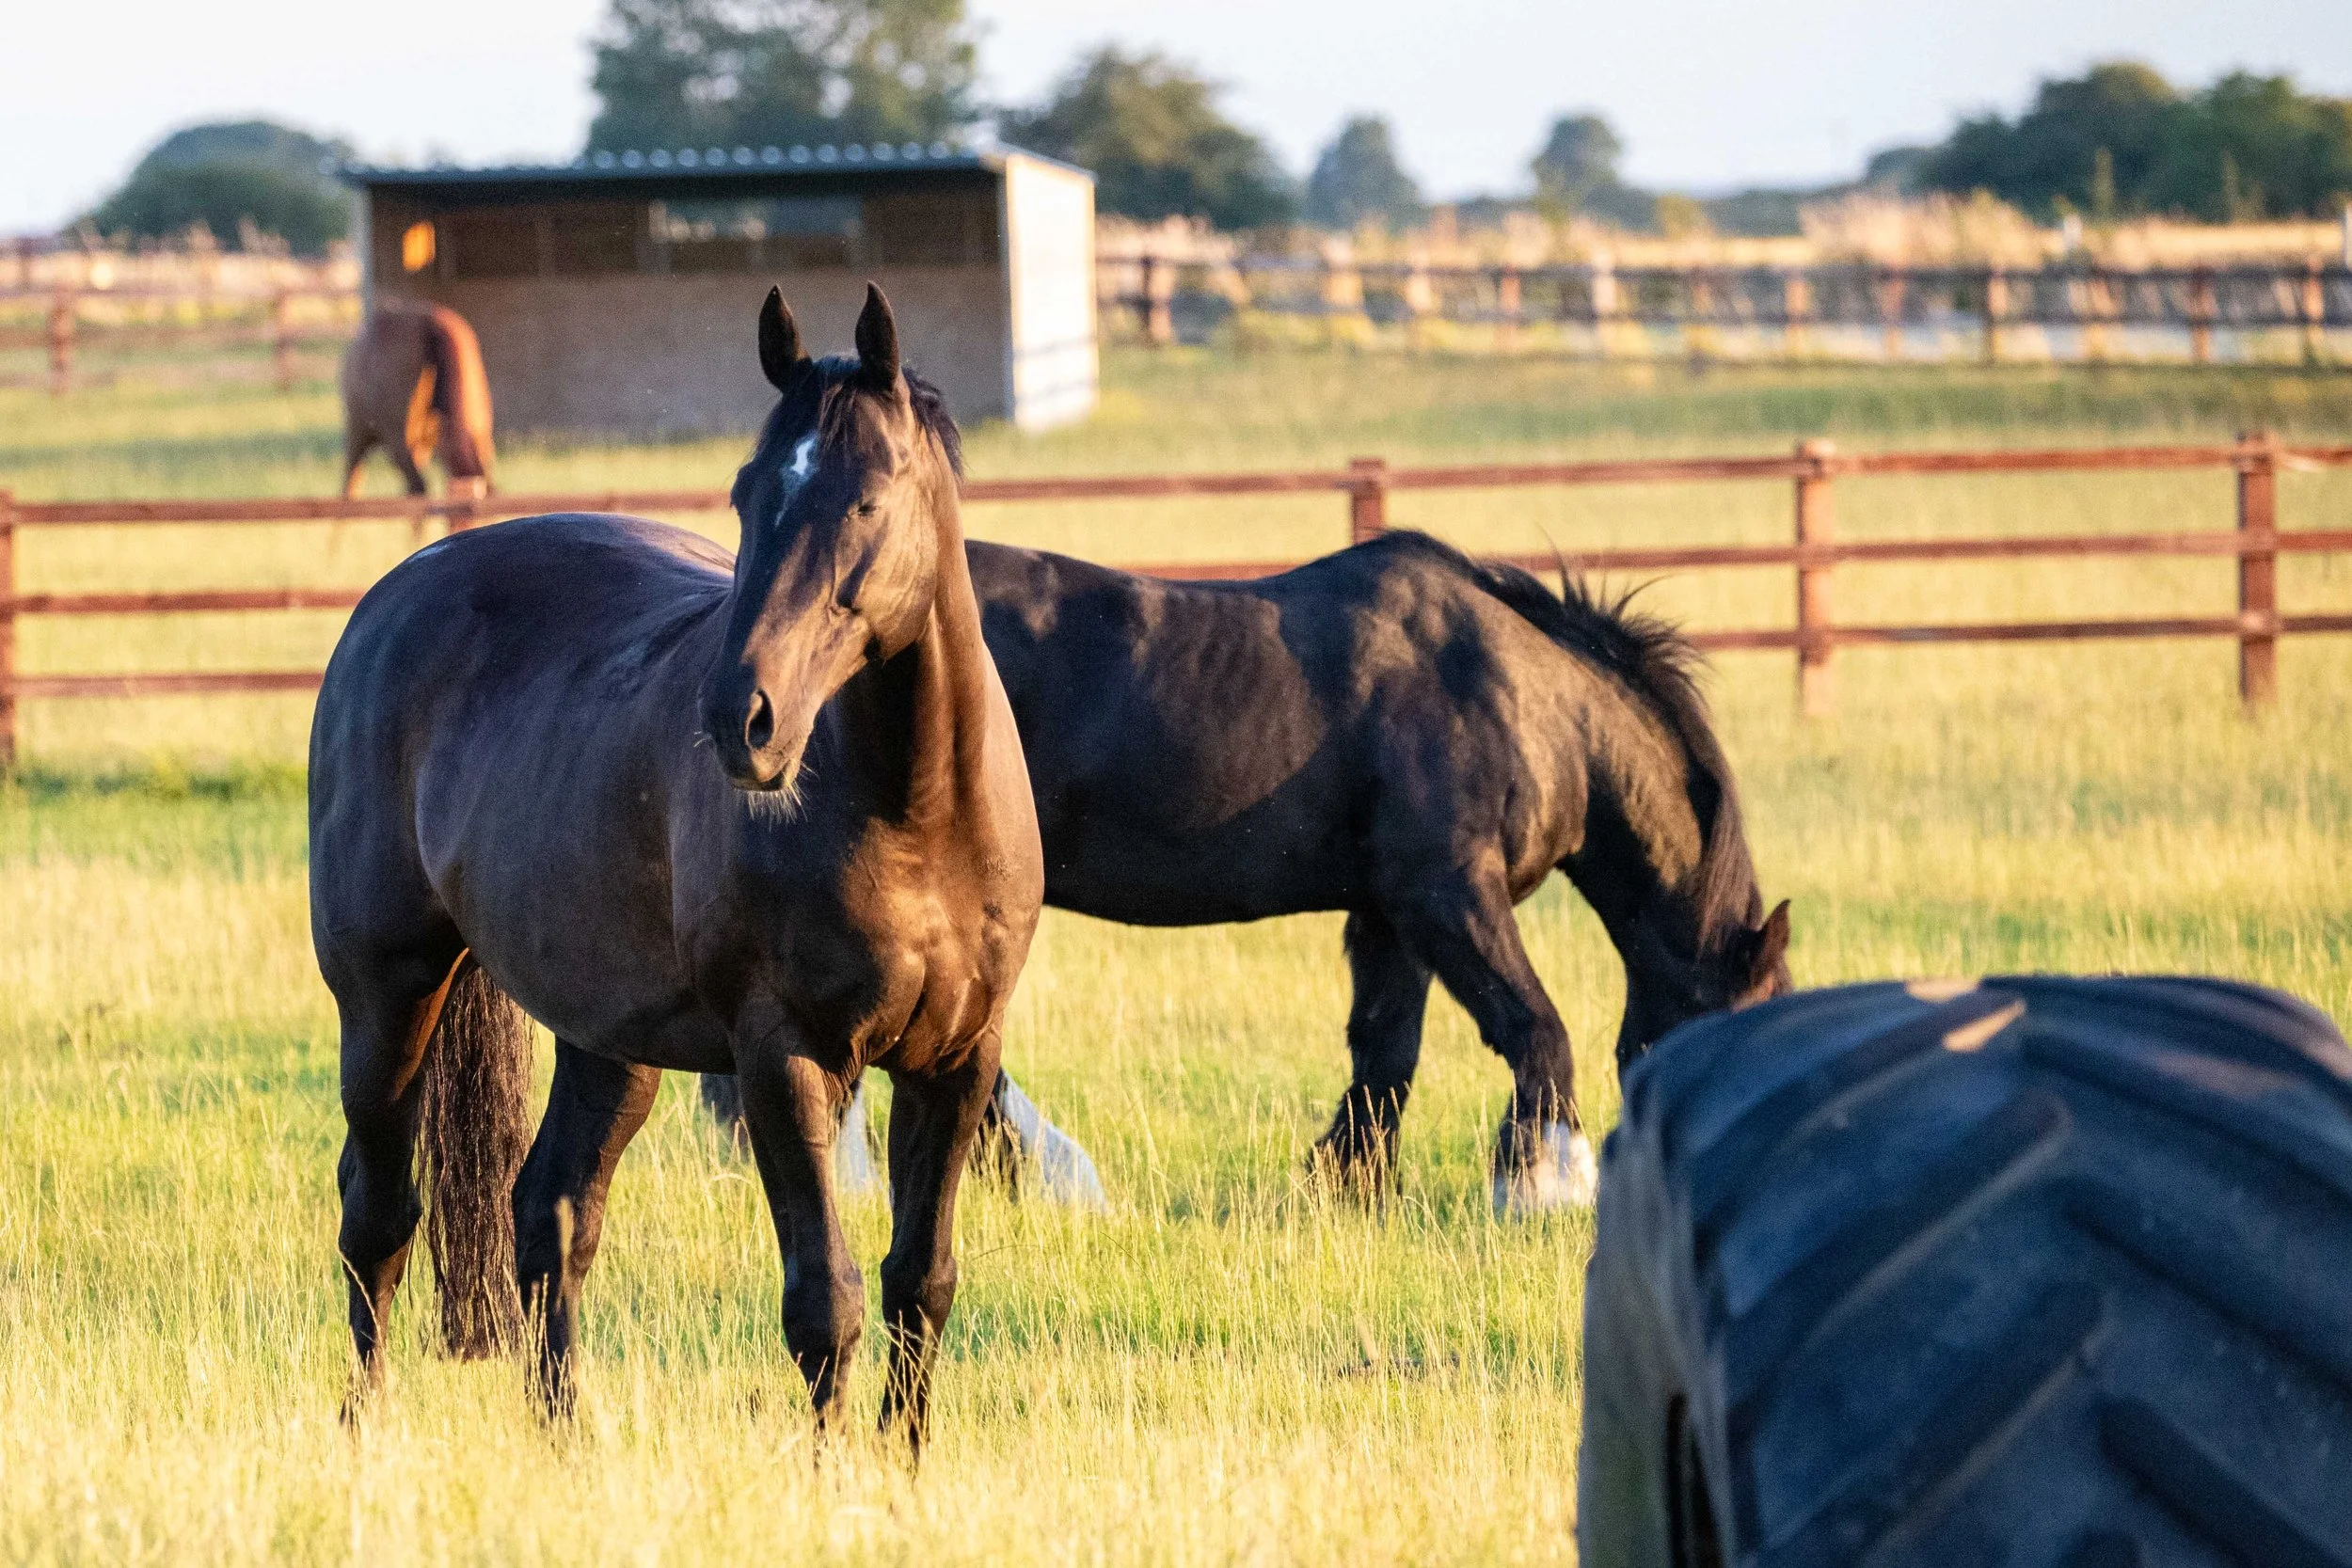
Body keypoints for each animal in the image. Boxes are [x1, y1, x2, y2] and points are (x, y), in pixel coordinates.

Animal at [710, 534, 1790, 1213]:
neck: (1520, 694)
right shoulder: (1448, 896)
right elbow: (1532, 1027)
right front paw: (1538, 1182)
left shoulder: (1390, 915)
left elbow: (1384, 1052)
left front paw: (1346, 1186)